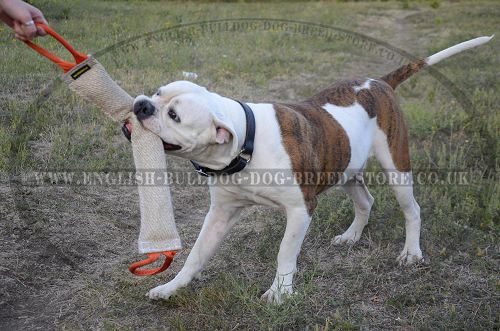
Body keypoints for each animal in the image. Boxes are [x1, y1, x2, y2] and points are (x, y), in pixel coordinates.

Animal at [132, 35, 492, 304]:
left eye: (175, 116)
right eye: (158, 93)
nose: (142, 104)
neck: (248, 141)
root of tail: (377, 81)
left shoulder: (300, 208)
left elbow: (284, 252)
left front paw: (280, 293)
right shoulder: (221, 212)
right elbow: (196, 253)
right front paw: (171, 287)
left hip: (396, 164)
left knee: (412, 209)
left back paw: (411, 252)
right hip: (345, 165)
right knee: (366, 201)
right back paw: (351, 236)